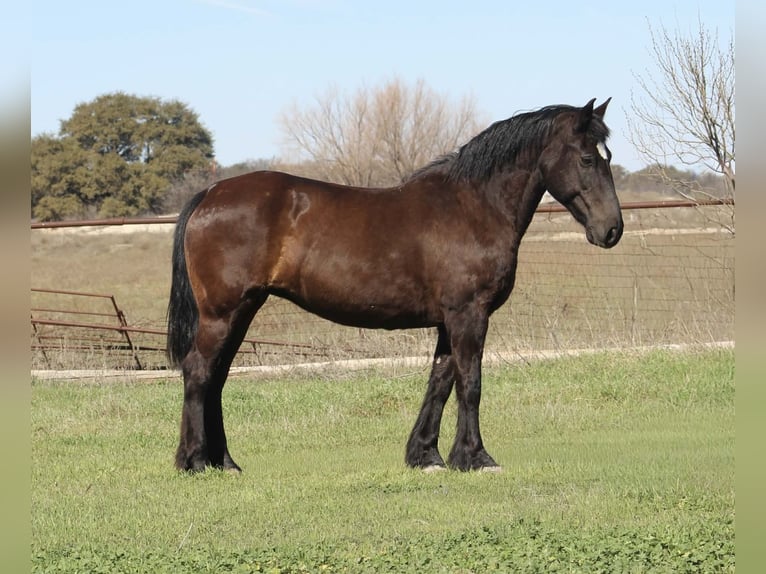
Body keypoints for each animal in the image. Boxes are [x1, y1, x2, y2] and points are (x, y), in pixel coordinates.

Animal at [166, 98, 623, 473]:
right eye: (587, 158)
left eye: (608, 156)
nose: (612, 229)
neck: (473, 205)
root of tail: (209, 194)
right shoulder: (469, 314)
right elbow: (470, 382)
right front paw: (475, 457)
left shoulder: (448, 321)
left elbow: (441, 381)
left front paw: (427, 456)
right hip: (223, 313)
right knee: (199, 371)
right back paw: (194, 461)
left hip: (243, 310)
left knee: (217, 376)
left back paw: (224, 462)